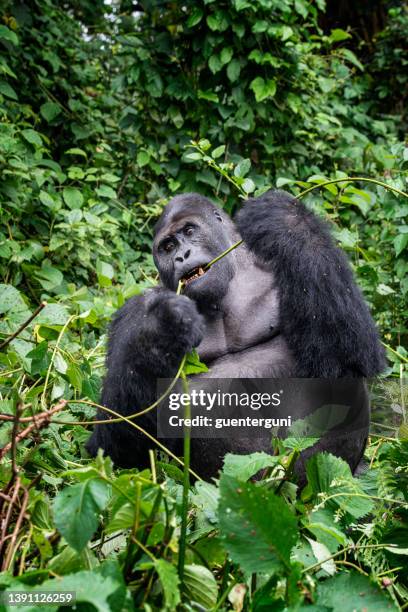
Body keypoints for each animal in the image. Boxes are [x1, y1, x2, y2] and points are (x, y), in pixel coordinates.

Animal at [86, 190, 386, 478]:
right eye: (167, 247)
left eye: (189, 231)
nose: (181, 256)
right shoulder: (133, 312)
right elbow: (119, 445)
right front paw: (163, 329)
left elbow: (348, 360)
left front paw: (285, 219)